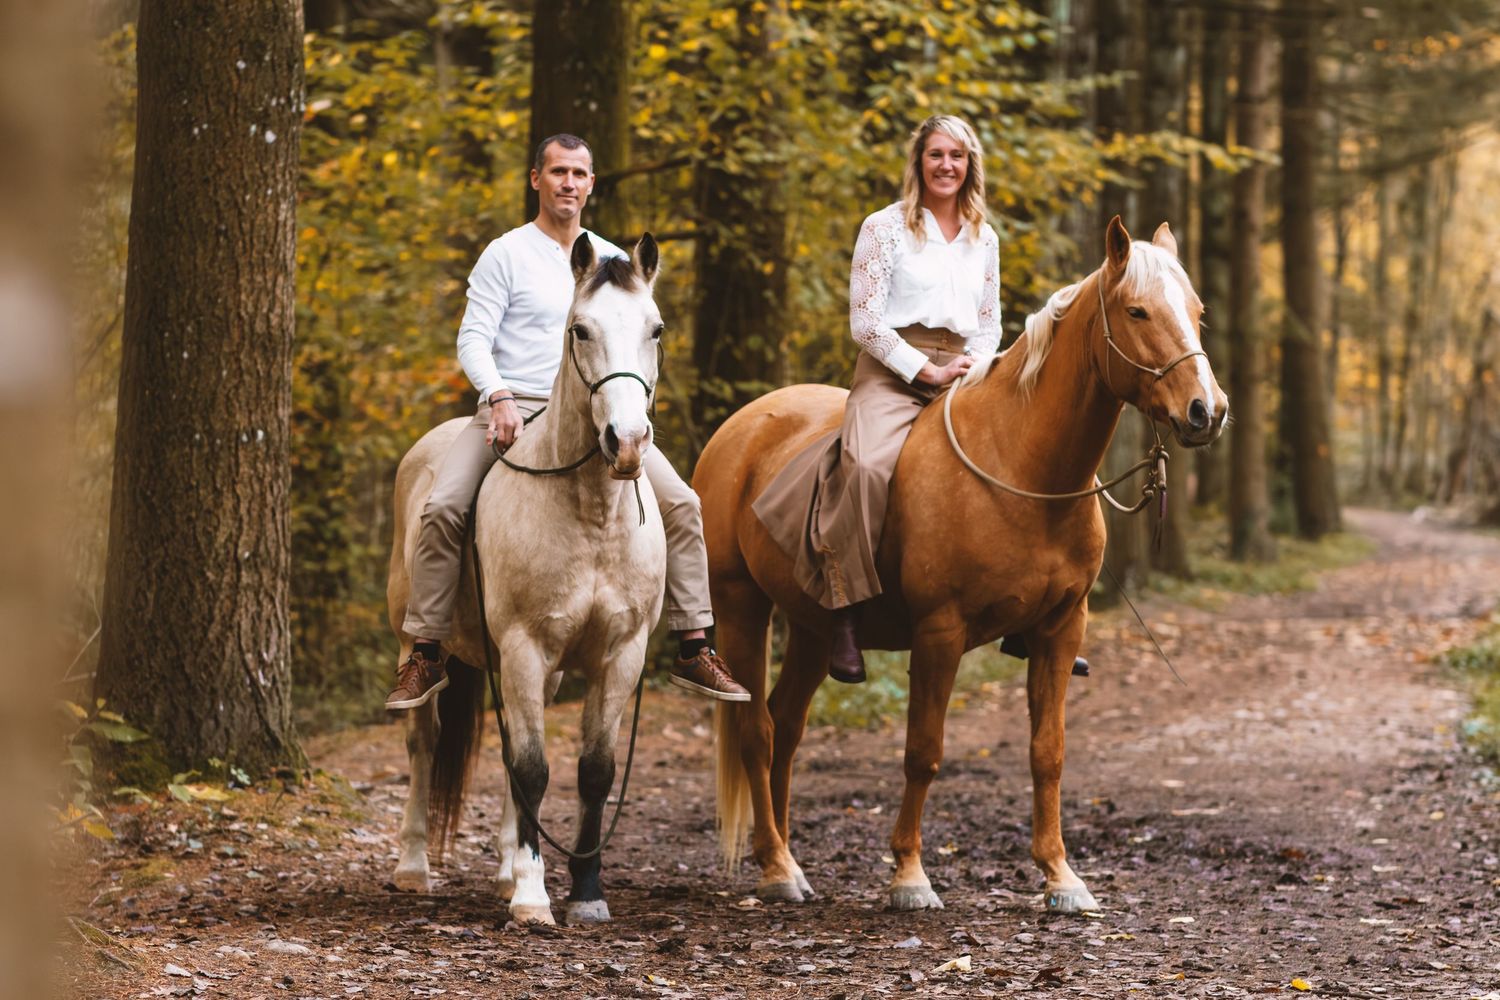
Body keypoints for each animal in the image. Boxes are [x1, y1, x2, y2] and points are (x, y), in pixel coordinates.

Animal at [385, 234, 667, 926]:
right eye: (580, 330)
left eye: (655, 329)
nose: (627, 443)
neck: (590, 514)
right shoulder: (522, 646)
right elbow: (534, 768)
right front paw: (534, 899)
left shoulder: (620, 654)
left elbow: (593, 771)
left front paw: (585, 893)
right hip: (416, 643)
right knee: (424, 741)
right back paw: (413, 868)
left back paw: (506, 869)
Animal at [697, 217, 1227, 914]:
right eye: (1138, 311)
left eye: (1196, 311)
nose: (1207, 411)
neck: (1021, 463)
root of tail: (740, 428)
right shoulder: (939, 633)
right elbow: (923, 752)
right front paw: (909, 875)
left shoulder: (1062, 629)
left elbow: (1048, 753)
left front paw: (1061, 876)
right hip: (741, 606)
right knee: (756, 732)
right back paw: (778, 868)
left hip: (810, 625)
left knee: (785, 726)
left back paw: (783, 857)